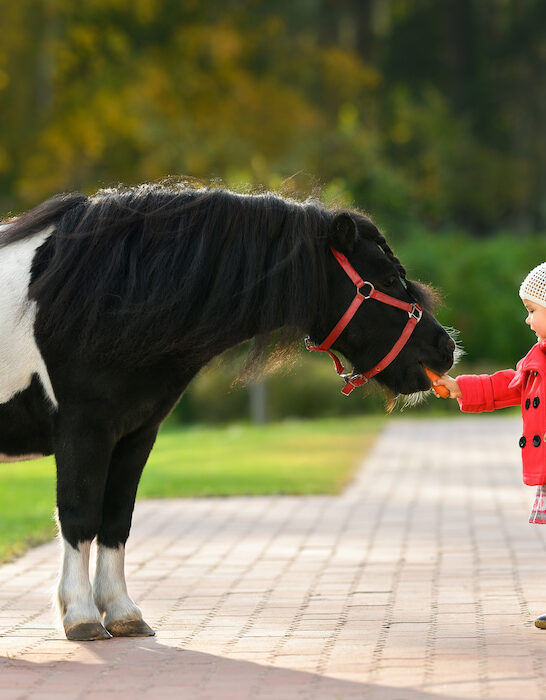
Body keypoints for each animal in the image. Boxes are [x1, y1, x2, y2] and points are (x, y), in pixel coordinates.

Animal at [0, 185, 452, 640]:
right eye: (386, 278)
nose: (445, 348)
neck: (108, 292)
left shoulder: (135, 434)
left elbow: (116, 518)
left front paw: (124, 612)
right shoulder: (83, 430)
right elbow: (79, 516)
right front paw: (81, 615)